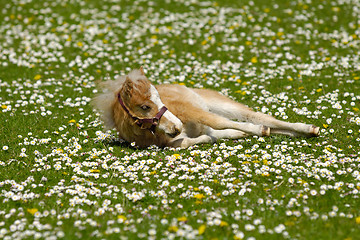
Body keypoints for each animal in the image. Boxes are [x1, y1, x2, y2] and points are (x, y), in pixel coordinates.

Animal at [92, 67, 318, 148]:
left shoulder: (192, 112)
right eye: (145, 106)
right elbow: (188, 141)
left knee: (259, 117)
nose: (176, 127)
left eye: (160, 99)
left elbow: (218, 123)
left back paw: (309, 129)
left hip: (219, 104)